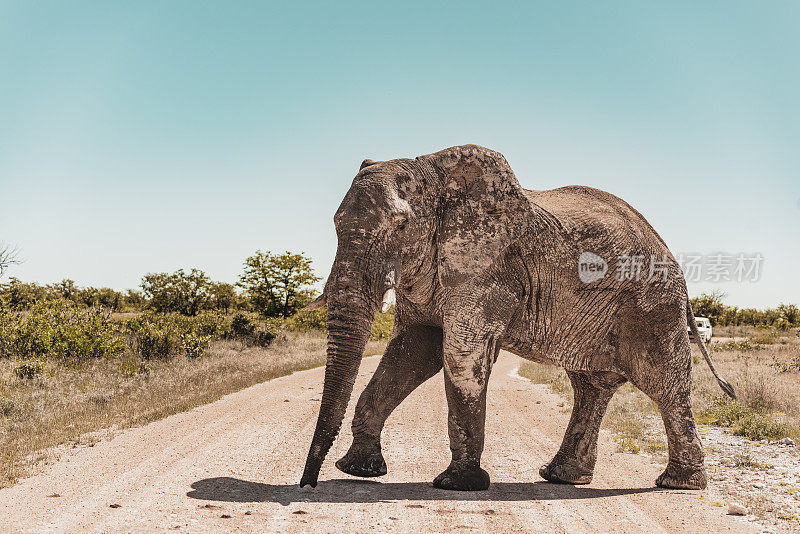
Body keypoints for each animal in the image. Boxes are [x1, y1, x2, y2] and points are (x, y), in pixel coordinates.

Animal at [296, 144, 736, 492]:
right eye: (335, 224)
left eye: (401, 226)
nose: (307, 484)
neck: (433, 173)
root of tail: (670, 254)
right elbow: (412, 351)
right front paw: (359, 471)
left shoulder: (490, 268)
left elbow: (460, 355)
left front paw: (458, 486)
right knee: (591, 386)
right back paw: (561, 477)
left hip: (652, 307)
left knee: (664, 384)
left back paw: (678, 484)